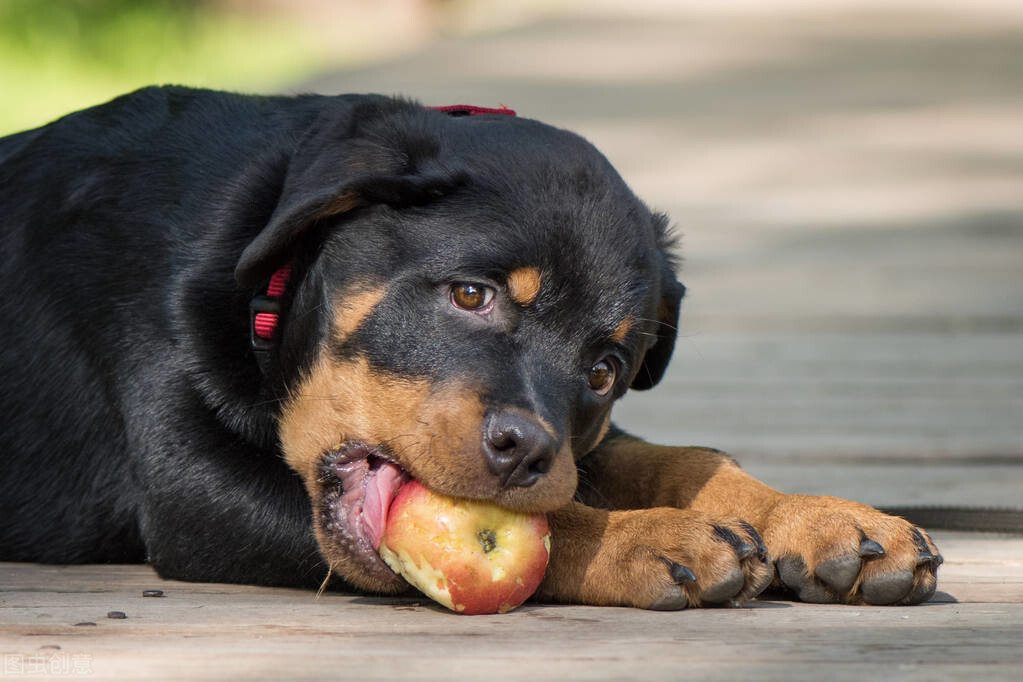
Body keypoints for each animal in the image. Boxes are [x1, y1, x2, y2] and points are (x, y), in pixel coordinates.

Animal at [0, 86, 941, 609]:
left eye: (605, 369)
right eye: (469, 295)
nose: (522, 451)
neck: (266, 275)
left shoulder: (579, 439)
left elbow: (680, 456)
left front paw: (829, 521)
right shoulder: (191, 485)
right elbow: (557, 523)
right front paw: (651, 540)